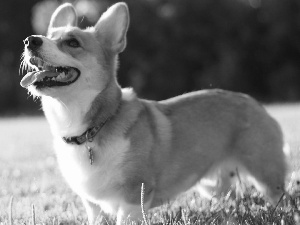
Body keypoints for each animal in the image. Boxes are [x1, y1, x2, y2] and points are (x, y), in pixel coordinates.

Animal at [19, 2, 288, 225]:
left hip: (266, 173)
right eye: (48, 37)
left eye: (73, 42)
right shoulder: (92, 205)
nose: (31, 40)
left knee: (279, 199)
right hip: (211, 185)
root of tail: (255, 103)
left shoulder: (133, 195)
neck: (88, 129)